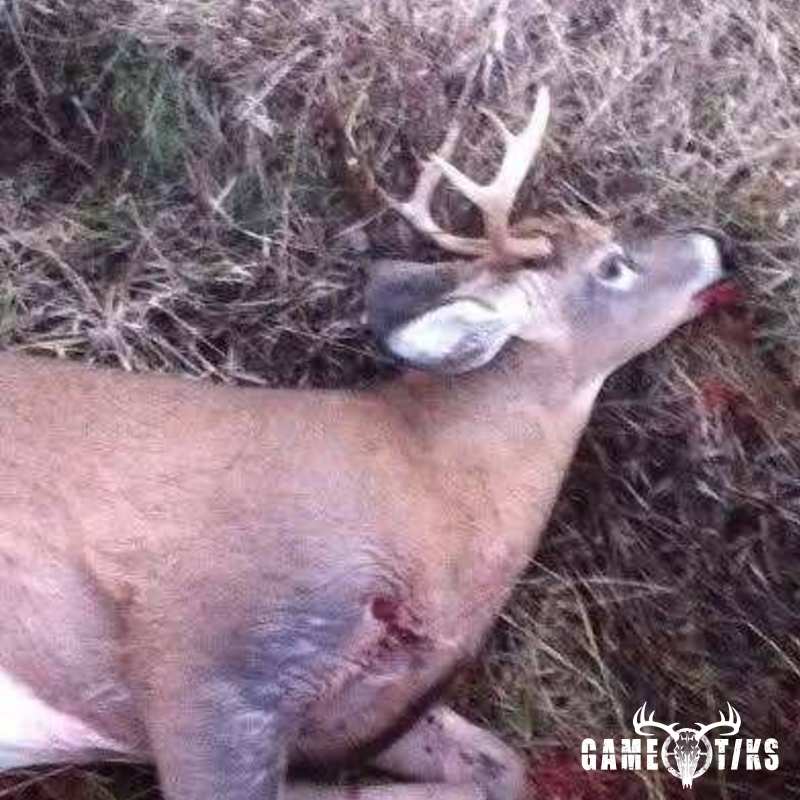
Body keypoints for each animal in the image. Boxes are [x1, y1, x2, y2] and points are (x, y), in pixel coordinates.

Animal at [0, 86, 736, 800]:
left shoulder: (375, 706)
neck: (429, 494)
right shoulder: (208, 659)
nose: (715, 240)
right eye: (612, 265)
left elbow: (501, 769)